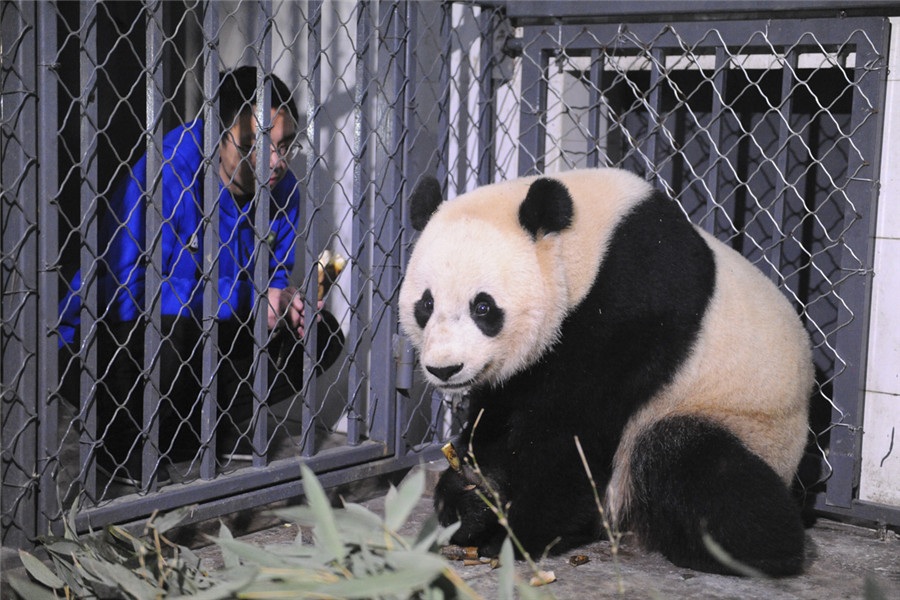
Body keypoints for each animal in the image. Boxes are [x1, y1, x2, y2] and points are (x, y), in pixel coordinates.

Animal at [400, 166, 816, 576]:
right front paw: (470, 498)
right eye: (426, 304)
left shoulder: (634, 306)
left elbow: (572, 432)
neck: (587, 247)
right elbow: (501, 416)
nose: (445, 368)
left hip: (741, 420)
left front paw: (514, 534)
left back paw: (753, 552)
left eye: (483, 307)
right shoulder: (526, 367)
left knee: (690, 461)